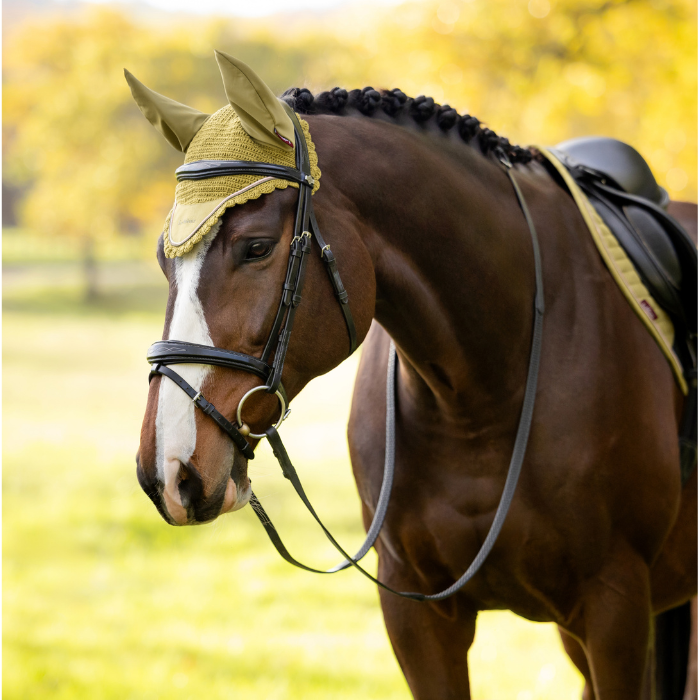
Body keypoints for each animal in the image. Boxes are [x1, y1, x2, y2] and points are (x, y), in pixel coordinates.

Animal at [130, 53, 697, 699]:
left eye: (255, 247)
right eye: (164, 259)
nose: (168, 470)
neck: (480, 396)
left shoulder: (615, 607)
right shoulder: (416, 613)